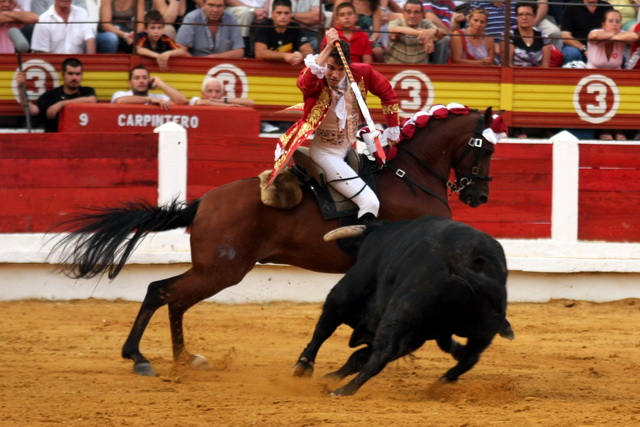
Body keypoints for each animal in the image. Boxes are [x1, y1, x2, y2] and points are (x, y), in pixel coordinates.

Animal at [52, 108, 498, 378]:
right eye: (485, 149)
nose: (480, 196)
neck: (411, 177)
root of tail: (203, 203)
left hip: (214, 270)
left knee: (173, 300)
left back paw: (184, 358)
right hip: (222, 269)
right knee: (160, 291)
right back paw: (140, 358)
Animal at [292, 217, 512, 398]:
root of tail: (468, 264)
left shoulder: (344, 295)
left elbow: (323, 330)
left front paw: (304, 366)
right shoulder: (415, 336)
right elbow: (359, 356)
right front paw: (329, 376)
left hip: (399, 314)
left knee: (382, 354)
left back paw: (343, 391)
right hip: (483, 329)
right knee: (471, 356)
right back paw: (443, 381)